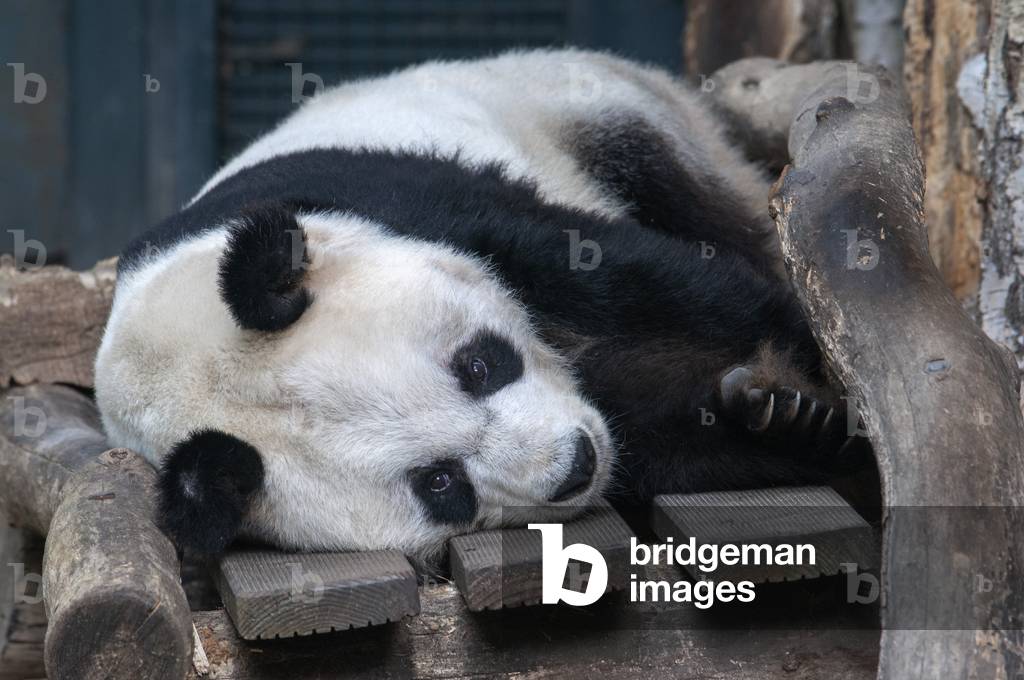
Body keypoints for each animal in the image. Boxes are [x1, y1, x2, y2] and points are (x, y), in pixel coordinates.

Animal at [94, 49, 866, 565]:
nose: (576, 464)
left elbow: (651, 283)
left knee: (705, 203)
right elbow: (654, 434)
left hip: (601, 117)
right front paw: (785, 417)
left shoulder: (397, 204)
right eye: (440, 484)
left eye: (477, 365)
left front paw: (820, 386)